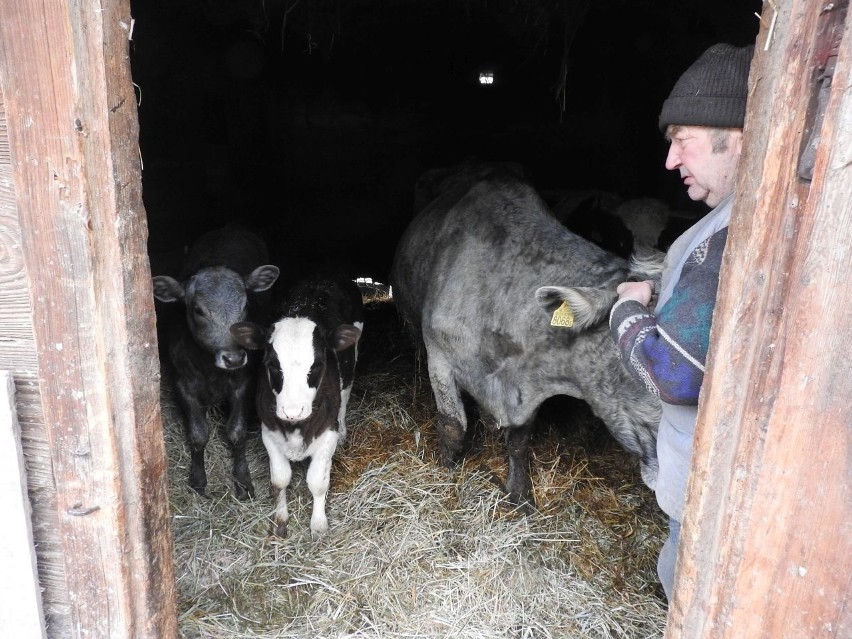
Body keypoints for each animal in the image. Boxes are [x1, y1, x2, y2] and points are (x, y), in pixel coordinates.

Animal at [153, 225, 280, 500]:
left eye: (245, 305)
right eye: (198, 310)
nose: (234, 357)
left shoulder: (244, 381)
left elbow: (237, 432)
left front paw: (243, 481)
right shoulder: (184, 383)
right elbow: (198, 434)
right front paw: (198, 481)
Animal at [231, 276, 364, 540]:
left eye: (317, 365)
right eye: (272, 364)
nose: (292, 412)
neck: (296, 427)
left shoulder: (327, 434)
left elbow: (317, 482)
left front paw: (318, 524)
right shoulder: (268, 432)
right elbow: (280, 480)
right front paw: (280, 520)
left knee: (346, 395)